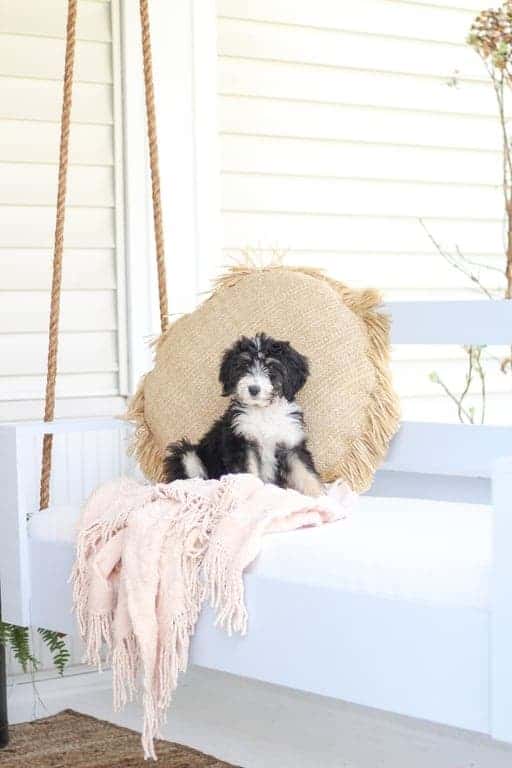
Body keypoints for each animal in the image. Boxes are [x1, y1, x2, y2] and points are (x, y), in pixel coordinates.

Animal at [164, 332, 324, 496]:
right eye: (245, 365)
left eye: (270, 367)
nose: (253, 389)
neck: (264, 412)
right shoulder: (241, 443)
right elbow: (249, 474)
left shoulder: (291, 445)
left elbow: (305, 473)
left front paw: (321, 496)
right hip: (187, 455)